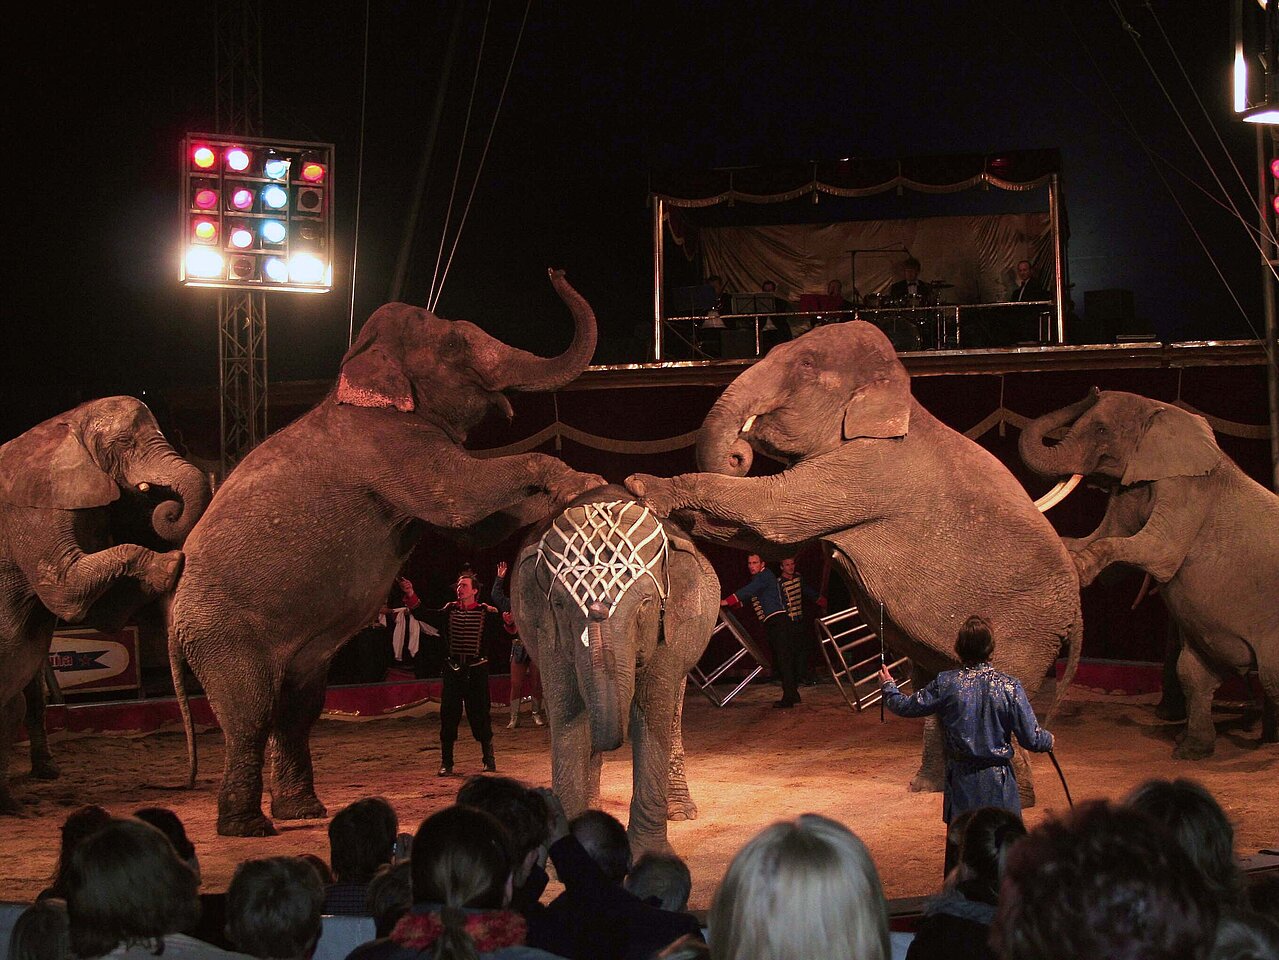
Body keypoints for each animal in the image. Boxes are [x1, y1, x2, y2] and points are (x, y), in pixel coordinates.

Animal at [0, 396, 209, 812]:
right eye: (125, 442)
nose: (168, 509)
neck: (66, 424)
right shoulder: (32, 513)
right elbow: (65, 592)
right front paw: (171, 565)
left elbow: (101, 611)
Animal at [170, 268, 603, 833]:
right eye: (456, 343)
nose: (556, 271)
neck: (358, 370)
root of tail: (173, 611)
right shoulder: (393, 448)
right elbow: (461, 498)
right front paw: (582, 482)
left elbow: (475, 531)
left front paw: (571, 492)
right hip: (222, 634)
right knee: (250, 715)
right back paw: (249, 828)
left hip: (282, 653)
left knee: (296, 712)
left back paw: (303, 812)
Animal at [509, 488, 721, 853]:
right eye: (560, 604)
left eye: (646, 604)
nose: (596, 610)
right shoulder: (546, 633)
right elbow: (568, 715)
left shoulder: (670, 628)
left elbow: (652, 713)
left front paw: (649, 854)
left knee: (674, 710)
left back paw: (680, 811)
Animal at [624, 323, 1084, 802]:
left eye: (806, 365)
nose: (738, 453)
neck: (899, 398)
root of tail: (1077, 616)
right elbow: (768, 540)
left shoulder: (868, 471)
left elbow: (774, 515)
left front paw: (641, 485)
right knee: (937, 685)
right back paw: (928, 788)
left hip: (1028, 630)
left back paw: (1016, 800)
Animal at [1018, 391, 1279, 756]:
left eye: (1101, 429)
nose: (1094, 388)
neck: (1162, 412)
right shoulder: (1133, 486)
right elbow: (1104, 542)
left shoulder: (1187, 491)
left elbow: (1158, 552)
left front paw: (1080, 569)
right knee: (1195, 673)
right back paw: (1190, 750)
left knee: (1271, 676)